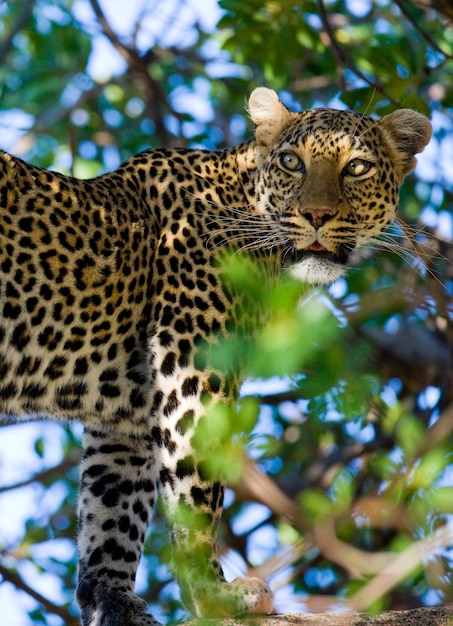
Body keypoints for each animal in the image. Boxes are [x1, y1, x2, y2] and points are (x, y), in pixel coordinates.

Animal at [0, 89, 430, 624]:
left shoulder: (125, 418)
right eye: (291, 162)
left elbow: (113, 512)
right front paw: (212, 594)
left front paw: (113, 603)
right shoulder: (191, 366)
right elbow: (195, 487)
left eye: (357, 168)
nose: (316, 215)